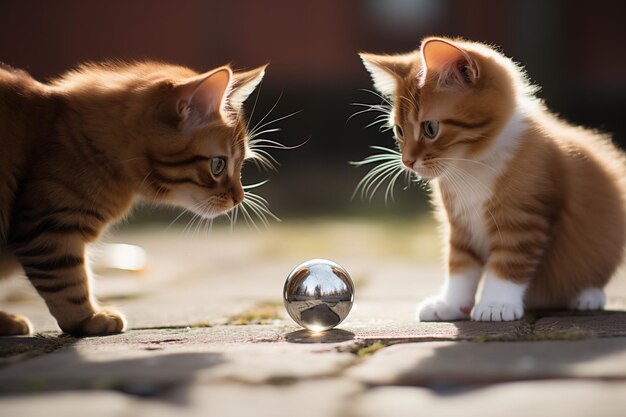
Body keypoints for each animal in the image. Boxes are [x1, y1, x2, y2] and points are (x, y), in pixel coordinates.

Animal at [0, 61, 268, 334]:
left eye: (241, 165)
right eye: (218, 165)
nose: (239, 198)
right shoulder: (48, 227)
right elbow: (67, 281)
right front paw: (88, 318)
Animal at [360, 36, 624, 322]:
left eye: (430, 128)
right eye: (399, 131)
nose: (407, 161)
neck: (470, 166)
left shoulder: (524, 219)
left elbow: (509, 262)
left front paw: (497, 304)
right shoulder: (460, 224)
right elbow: (460, 265)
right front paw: (451, 304)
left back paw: (587, 296)